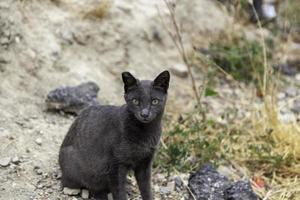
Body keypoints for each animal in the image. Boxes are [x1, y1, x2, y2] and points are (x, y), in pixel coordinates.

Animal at [58, 70, 171, 198]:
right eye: (135, 101)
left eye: (154, 101)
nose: (144, 114)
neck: (146, 132)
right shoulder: (115, 165)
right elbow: (119, 191)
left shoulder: (145, 163)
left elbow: (146, 189)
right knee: (86, 186)